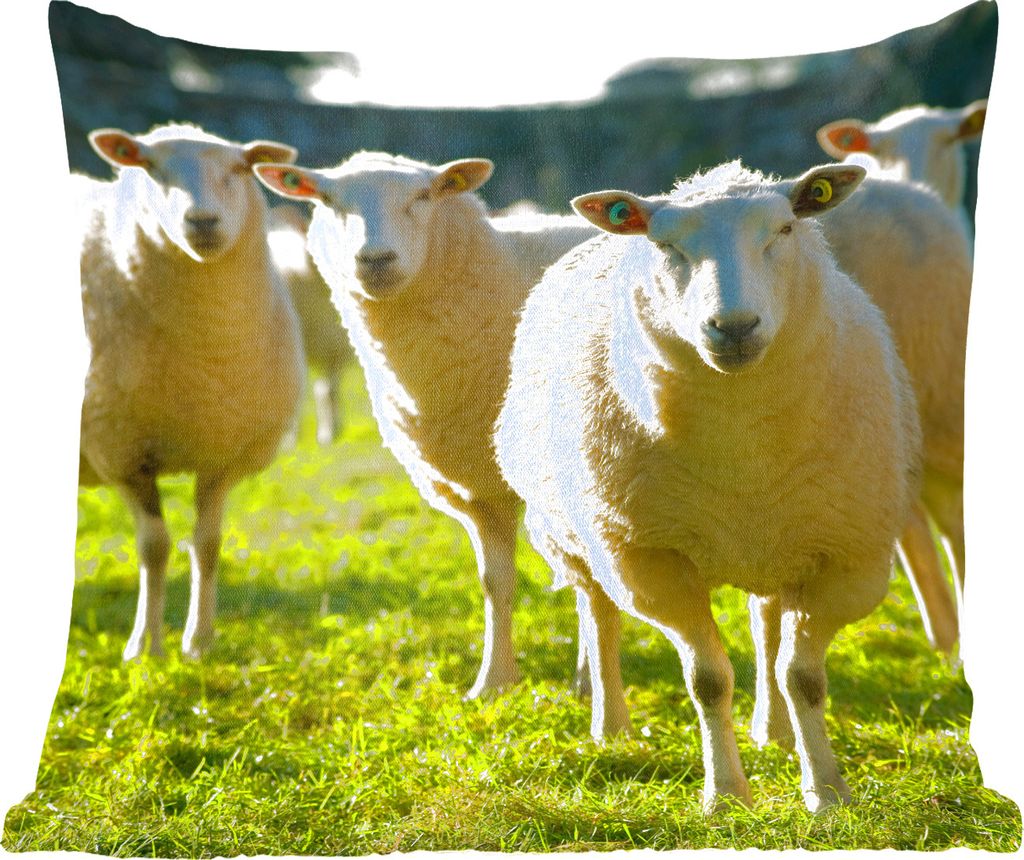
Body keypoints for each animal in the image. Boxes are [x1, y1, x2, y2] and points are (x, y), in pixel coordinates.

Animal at [78, 123, 305, 660]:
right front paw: (145, 646)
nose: (202, 221)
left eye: (240, 167)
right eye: (150, 167)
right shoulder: (120, 451)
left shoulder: (222, 453)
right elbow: (155, 546)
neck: (206, 359)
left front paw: (199, 642)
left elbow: (209, 543)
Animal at [495, 161, 922, 813]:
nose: (734, 327)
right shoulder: (651, 561)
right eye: (665, 246)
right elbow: (708, 680)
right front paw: (726, 794)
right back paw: (611, 726)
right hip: (579, 535)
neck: (740, 449)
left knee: (765, 623)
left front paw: (826, 791)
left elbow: (803, 678)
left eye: (785, 228)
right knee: (600, 617)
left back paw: (773, 730)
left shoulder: (847, 557)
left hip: (779, 539)